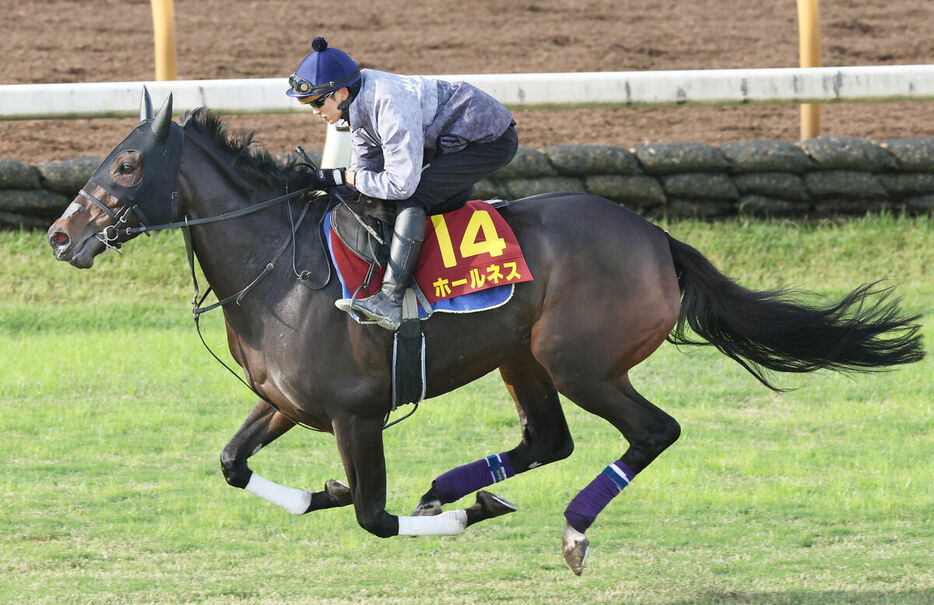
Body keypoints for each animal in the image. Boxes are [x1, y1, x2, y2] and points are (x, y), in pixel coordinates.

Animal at [47, 91, 924, 576]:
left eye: (126, 165)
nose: (60, 236)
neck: (282, 266)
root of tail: (655, 238)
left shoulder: (356, 413)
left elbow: (374, 517)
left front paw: (441, 512)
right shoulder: (288, 401)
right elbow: (233, 464)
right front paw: (327, 490)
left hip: (582, 362)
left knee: (651, 431)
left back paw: (567, 527)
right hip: (522, 357)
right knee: (548, 439)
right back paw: (458, 483)